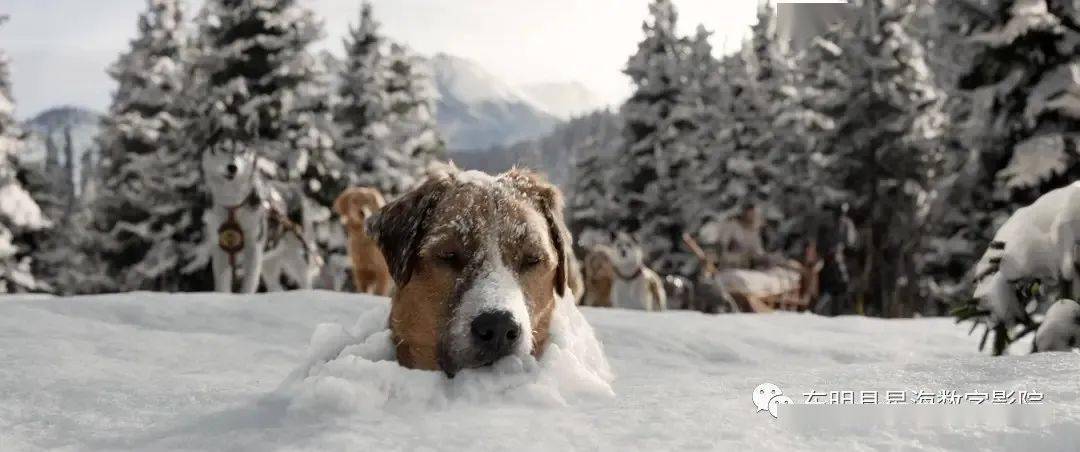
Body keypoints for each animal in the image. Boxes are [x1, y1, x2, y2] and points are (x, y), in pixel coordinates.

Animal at [203, 140, 317, 293]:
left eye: (242, 151)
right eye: (223, 149)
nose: (232, 167)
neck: (233, 205)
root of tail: (295, 189)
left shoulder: (253, 248)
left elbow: (249, 283)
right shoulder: (221, 248)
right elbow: (222, 284)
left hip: (297, 256)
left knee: (305, 281)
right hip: (270, 261)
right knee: (276, 287)